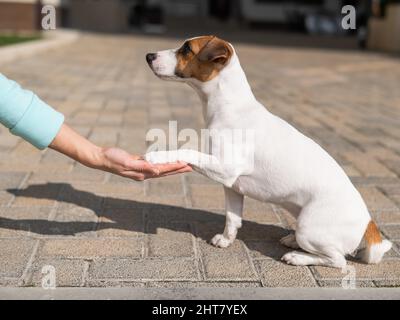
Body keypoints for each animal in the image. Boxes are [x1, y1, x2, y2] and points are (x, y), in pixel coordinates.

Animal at [144, 35, 390, 268]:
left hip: (310, 229)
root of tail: (369, 224)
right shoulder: (232, 185)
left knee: (337, 260)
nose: (149, 55)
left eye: (186, 49)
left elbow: (187, 151)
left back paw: (297, 256)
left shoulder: (226, 169)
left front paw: (156, 156)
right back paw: (291, 240)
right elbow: (232, 218)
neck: (230, 106)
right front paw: (226, 240)